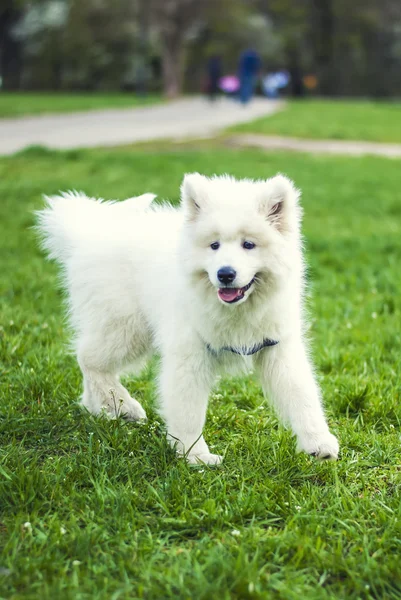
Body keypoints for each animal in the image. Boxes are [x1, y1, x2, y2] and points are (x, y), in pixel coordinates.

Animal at [36, 173, 338, 464]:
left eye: (248, 244)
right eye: (214, 245)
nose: (225, 274)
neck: (236, 310)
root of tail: (88, 234)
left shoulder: (277, 346)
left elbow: (303, 395)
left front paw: (318, 443)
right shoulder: (189, 353)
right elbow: (188, 410)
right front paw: (196, 455)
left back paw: (103, 407)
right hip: (126, 328)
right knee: (89, 359)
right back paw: (124, 404)